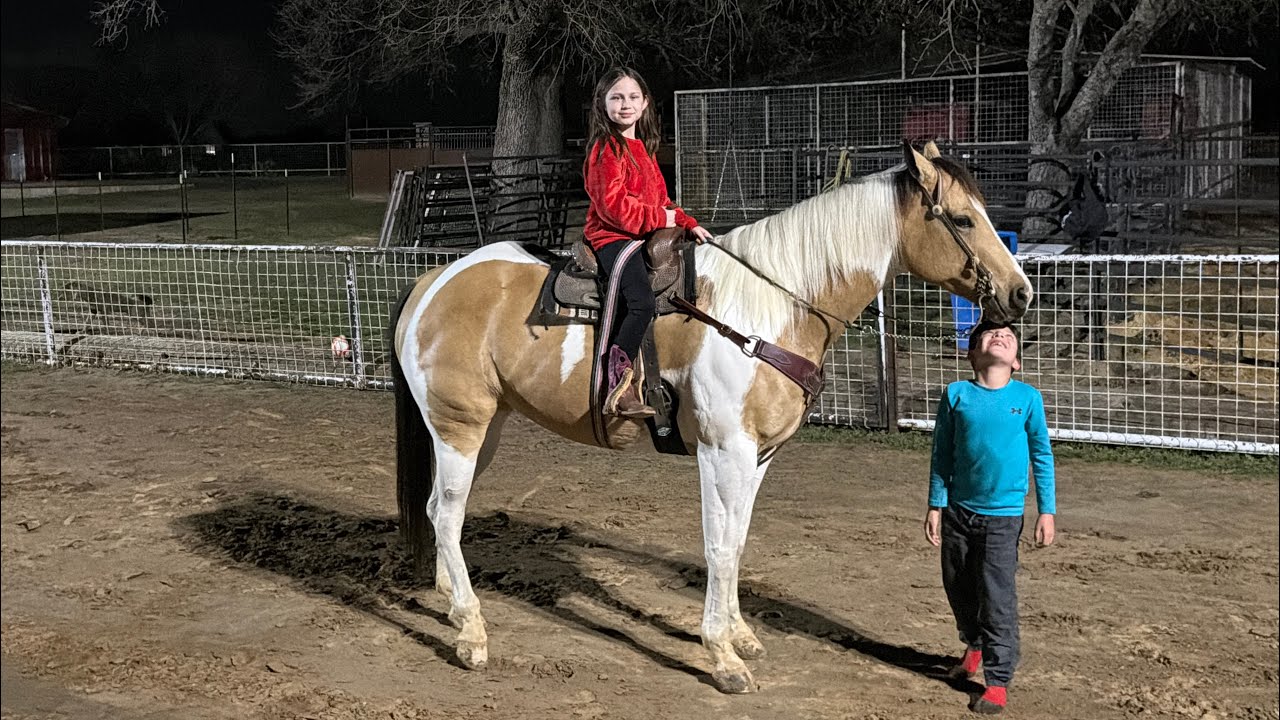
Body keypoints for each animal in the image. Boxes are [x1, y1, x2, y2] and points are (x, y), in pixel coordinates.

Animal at [389, 141, 1032, 694]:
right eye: (963, 220)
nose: (1021, 293)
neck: (770, 309)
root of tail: (432, 280)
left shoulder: (759, 456)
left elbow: (738, 540)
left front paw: (740, 635)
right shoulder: (724, 450)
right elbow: (719, 547)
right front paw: (721, 656)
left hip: (482, 430)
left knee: (441, 511)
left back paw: (452, 605)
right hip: (460, 426)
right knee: (446, 514)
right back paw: (473, 631)